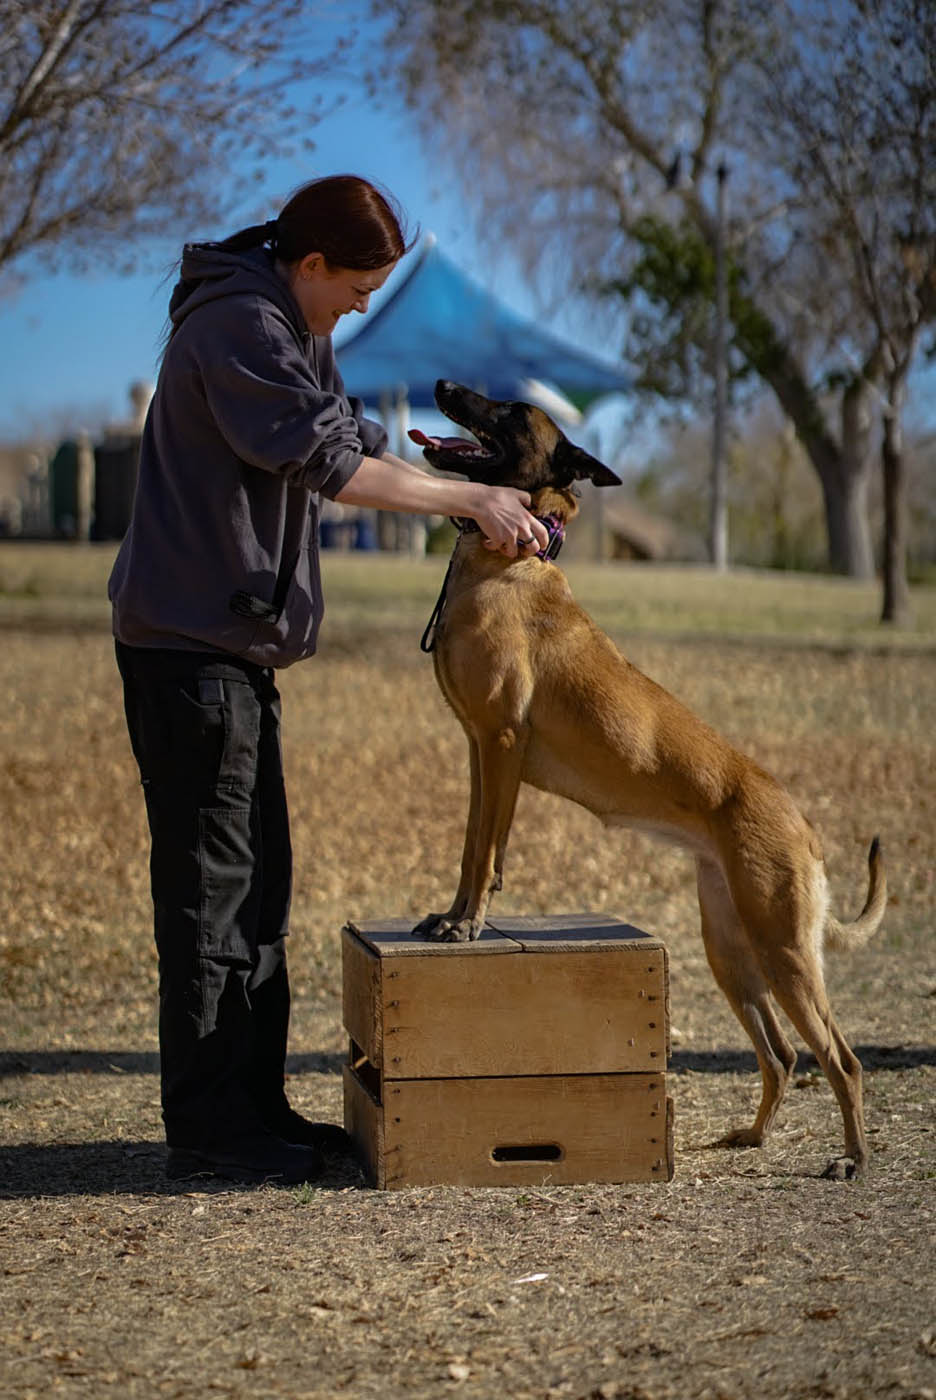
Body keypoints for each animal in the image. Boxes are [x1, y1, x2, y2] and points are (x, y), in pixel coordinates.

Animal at [411, 380, 889, 1181]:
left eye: (511, 411)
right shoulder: (481, 753)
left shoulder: (500, 743)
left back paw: (850, 1159)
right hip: (732, 951)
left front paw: (467, 923)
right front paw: (452, 918)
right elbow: (476, 847)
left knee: (840, 1059)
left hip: (784, 952)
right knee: (783, 1055)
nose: (444, 386)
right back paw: (751, 1137)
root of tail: (803, 823)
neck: (512, 556)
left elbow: (483, 855)